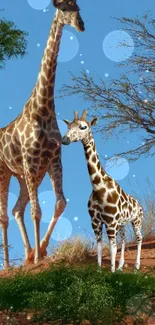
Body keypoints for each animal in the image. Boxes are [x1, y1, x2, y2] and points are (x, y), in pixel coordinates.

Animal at [0, 0, 85, 268]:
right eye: (63, 8)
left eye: (78, 7)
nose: (81, 25)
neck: (43, 108)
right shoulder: (31, 161)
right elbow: (37, 211)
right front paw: (38, 256)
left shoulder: (53, 160)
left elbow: (59, 203)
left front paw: (42, 250)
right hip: (6, 171)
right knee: (5, 214)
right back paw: (9, 264)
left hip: (24, 176)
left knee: (17, 209)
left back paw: (27, 254)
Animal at [61, 110, 143, 272]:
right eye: (68, 126)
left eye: (83, 127)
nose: (64, 139)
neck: (98, 188)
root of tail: (139, 204)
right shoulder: (96, 222)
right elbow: (100, 246)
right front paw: (100, 270)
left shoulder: (111, 222)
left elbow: (112, 248)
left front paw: (111, 272)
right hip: (122, 224)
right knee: (123, 239)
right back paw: (120, 266)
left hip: (136, 221)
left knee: (139, 238)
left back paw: (136, 266)